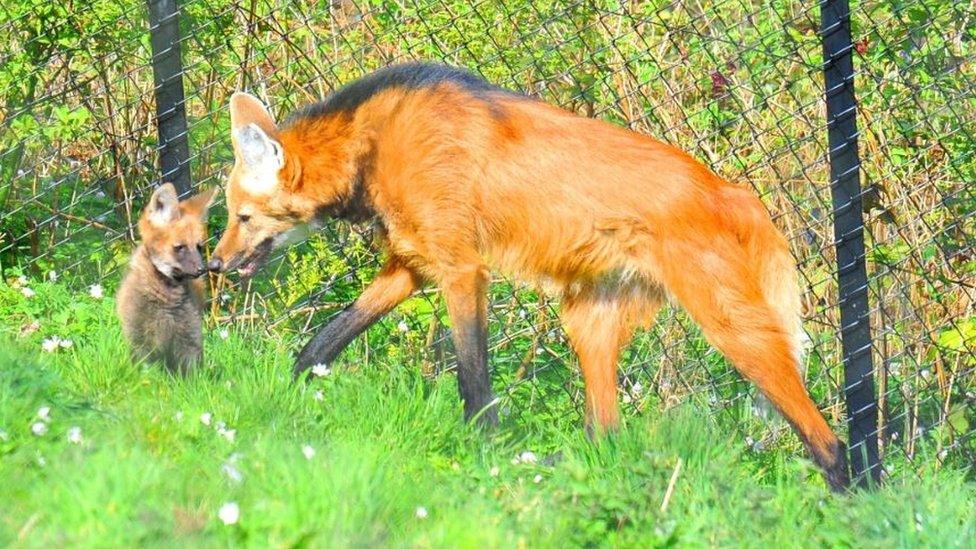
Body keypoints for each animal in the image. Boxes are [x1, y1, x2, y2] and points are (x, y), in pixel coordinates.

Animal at [117, 183, 216, 372]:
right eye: (180, 247)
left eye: (199, 247)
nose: (202, 270)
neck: (166, 299)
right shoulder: (140, 340)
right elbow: (146, 373)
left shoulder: (188, 338)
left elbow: (193, 375)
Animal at [210, 62, 852, 490]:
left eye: (242, 217)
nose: (213, 263)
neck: (373, 143)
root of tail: (732, 190)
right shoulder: (414, 264)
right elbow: (321, 342)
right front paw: (281, 401)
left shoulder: (461, 270)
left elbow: (474, 382)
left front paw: (484, 457)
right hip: (588, 321)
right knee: (605, 432)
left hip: (730, 326)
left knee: (828, 441)